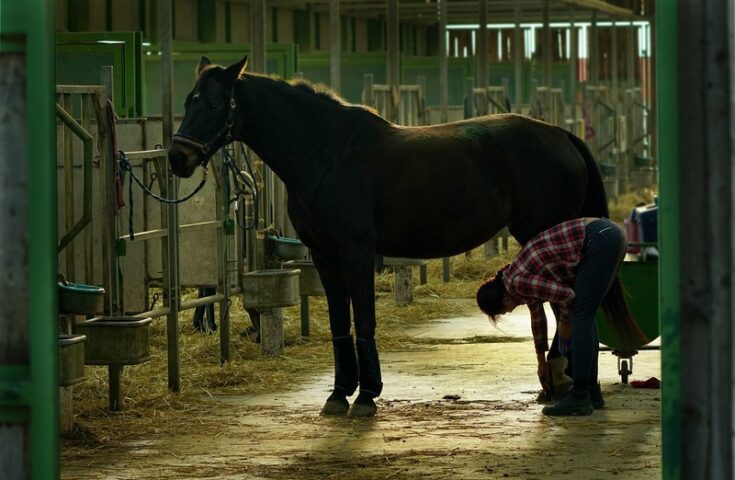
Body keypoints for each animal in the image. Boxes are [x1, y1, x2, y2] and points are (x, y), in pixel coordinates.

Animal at [167, 55, 616, 416]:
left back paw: (573, 391)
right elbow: (340, 322)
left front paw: (366, 396)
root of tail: (561, 135)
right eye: (187, 100)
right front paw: (338, 394)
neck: (327, 152)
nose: (177, 158)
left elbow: (364, 318)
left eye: (212, 103)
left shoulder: (357, 253)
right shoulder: (324, 256)